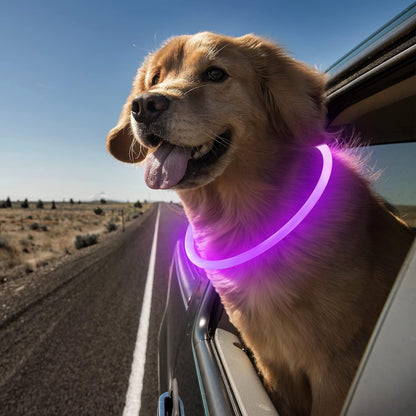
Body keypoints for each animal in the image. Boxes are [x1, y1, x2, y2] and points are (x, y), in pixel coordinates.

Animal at [106, 33, 412, 416]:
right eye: (155, 79)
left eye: (215, 74)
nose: (144, 105)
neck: (245, 221)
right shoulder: (273, 363)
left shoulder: (335, 372)